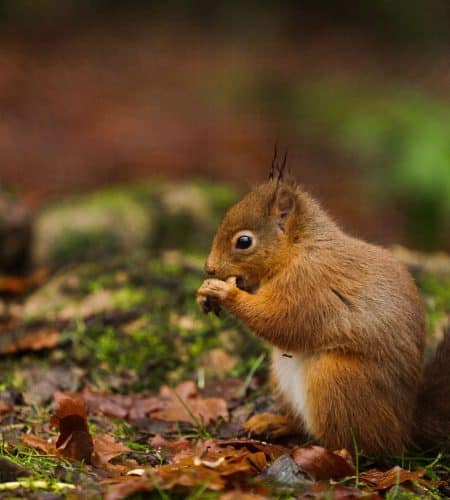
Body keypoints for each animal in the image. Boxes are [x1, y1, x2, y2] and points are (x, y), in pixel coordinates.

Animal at [197, 170, 450, 456]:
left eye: (244, 241)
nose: (209, 268)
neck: (299, 248)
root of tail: (404, 430)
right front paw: (206, 294)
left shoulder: (308, 284)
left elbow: (280, 321)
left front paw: (225, 292)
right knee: (302, 423)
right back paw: (275, 422)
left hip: (335, 378)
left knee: (359, 444)